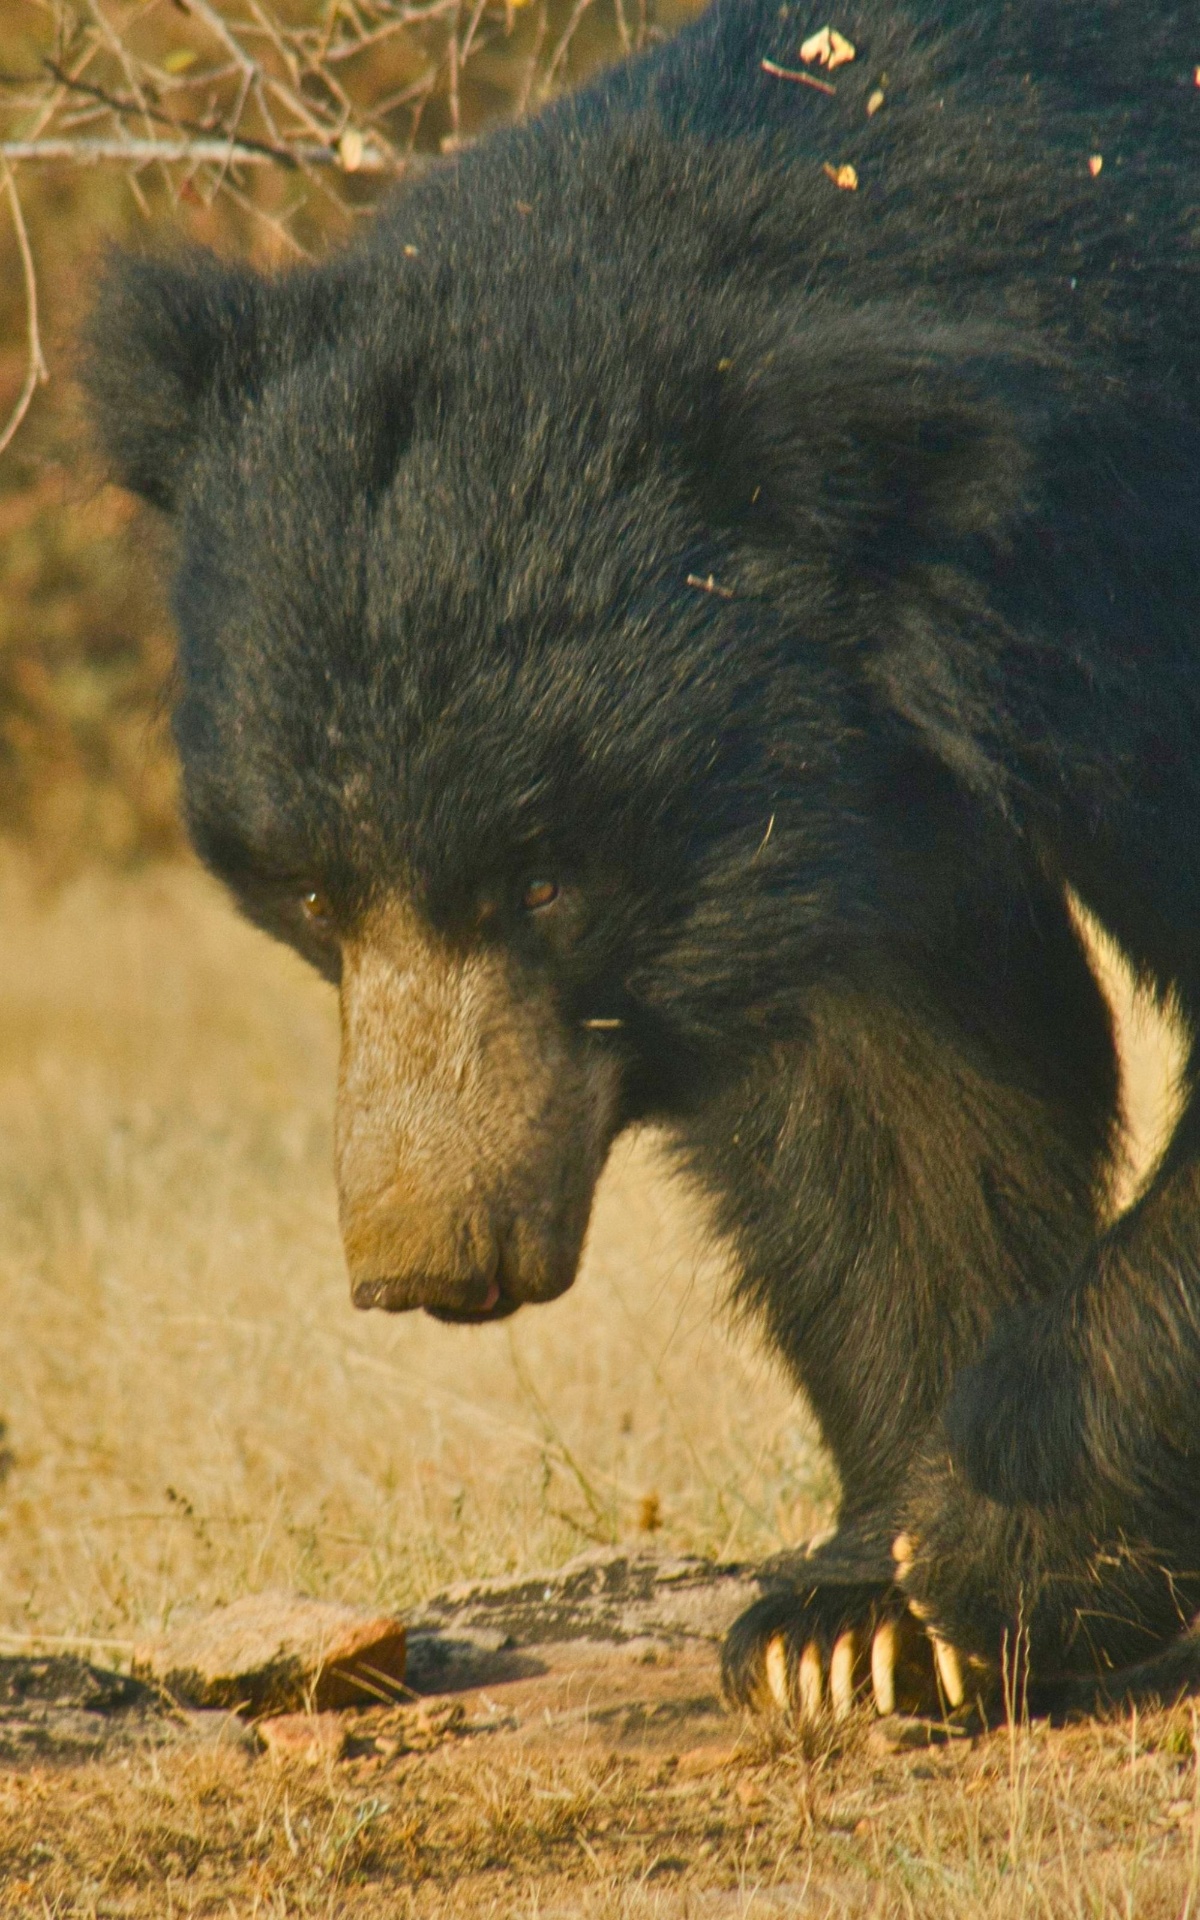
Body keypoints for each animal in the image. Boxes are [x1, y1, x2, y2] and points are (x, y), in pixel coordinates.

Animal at [83, 0, 1200, 1722]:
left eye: (547, 880)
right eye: (316, 893)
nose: (430, 1260)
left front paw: (982, 1544)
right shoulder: (853, 788)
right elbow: (900, 1110)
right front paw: (857, 1626)